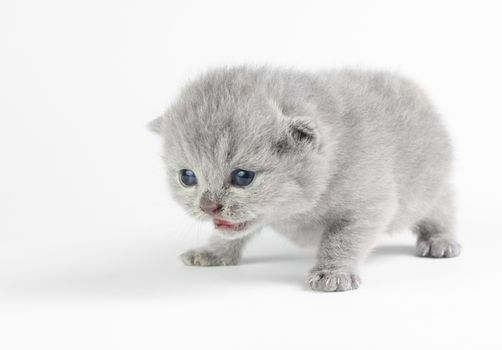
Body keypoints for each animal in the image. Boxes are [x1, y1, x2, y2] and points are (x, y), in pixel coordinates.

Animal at [150, 65, 462, 292]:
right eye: (187, 176)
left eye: (242, 177)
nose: (208, 207)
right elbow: (230, 234)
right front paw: (213, 252)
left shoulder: (369, 205)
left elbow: (343, 239)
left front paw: (332, 272)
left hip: (430, 185)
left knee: (441, 209)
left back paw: (440, 241)